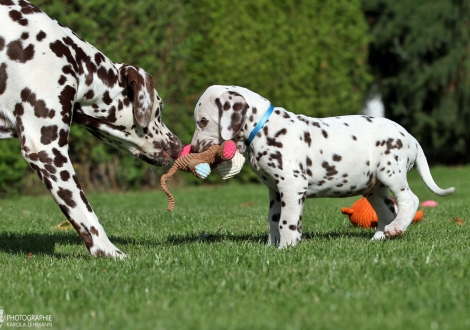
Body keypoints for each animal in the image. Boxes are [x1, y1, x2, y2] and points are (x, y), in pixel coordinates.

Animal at [0, 0, 182, 258]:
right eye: (159, 108)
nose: (178, 146)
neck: (71, 57)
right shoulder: (46, 151)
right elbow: (86, 215)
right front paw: (109, 252)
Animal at [191, 85, 456, 248]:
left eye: (202, 121)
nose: (192, 149)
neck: (264, 127)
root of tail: (410, 137)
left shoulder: (292, 185)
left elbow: (286, 220)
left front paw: (286, 247)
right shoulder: (275, 191)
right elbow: (274, 219)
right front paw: (272, 246)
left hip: (390, 172)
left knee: (410, 200)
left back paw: (397, 228)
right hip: (373, 188)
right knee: (388, 211)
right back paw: (381, 236)